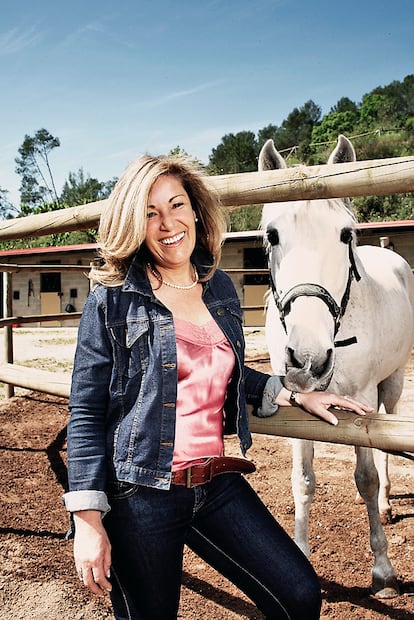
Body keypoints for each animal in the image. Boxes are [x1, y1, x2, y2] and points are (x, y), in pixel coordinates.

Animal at [260, 134, 414, 596]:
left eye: (345, 234)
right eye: (272, 235)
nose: (309, 357)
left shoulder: (363, 395)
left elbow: (366, 477)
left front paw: (383, 570)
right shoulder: (294, 405)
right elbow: (303, 481)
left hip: (393, 384)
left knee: (385, 441)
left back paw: (386, 504)